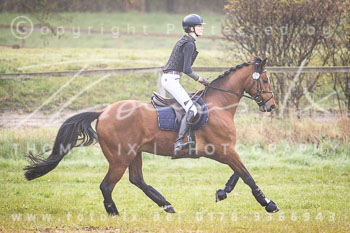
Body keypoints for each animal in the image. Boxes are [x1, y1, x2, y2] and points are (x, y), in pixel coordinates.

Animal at [23, 56, 278, 215]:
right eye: (265, 80)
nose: (272, 106)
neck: (219, 105)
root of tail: (103, 112)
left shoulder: (225, 151)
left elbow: (238, 173)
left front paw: (222, 192)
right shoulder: (223, 150)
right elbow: (246, 175)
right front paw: (268, 204)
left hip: (134, 153)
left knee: (137, 180)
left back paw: (166, 205)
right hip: (120, 158)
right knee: (107, 186)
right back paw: (115, 213)